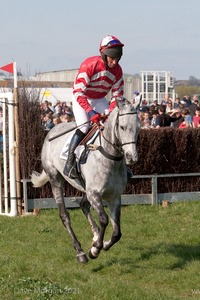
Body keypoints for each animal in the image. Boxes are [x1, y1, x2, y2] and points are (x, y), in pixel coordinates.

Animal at [31, 98, 141, 262]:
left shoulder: (114, 197)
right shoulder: (94, 194)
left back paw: (95, 235)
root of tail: (53, 129)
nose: (131, 157)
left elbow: (117, 233)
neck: (109, 158)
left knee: (83, 205)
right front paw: (95, 250)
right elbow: (104, 219)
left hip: (84, 187)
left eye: (138, 128)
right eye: (122, 127)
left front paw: (102, 243)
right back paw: (80, 251)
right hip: (55, 179)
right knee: (65, 216)